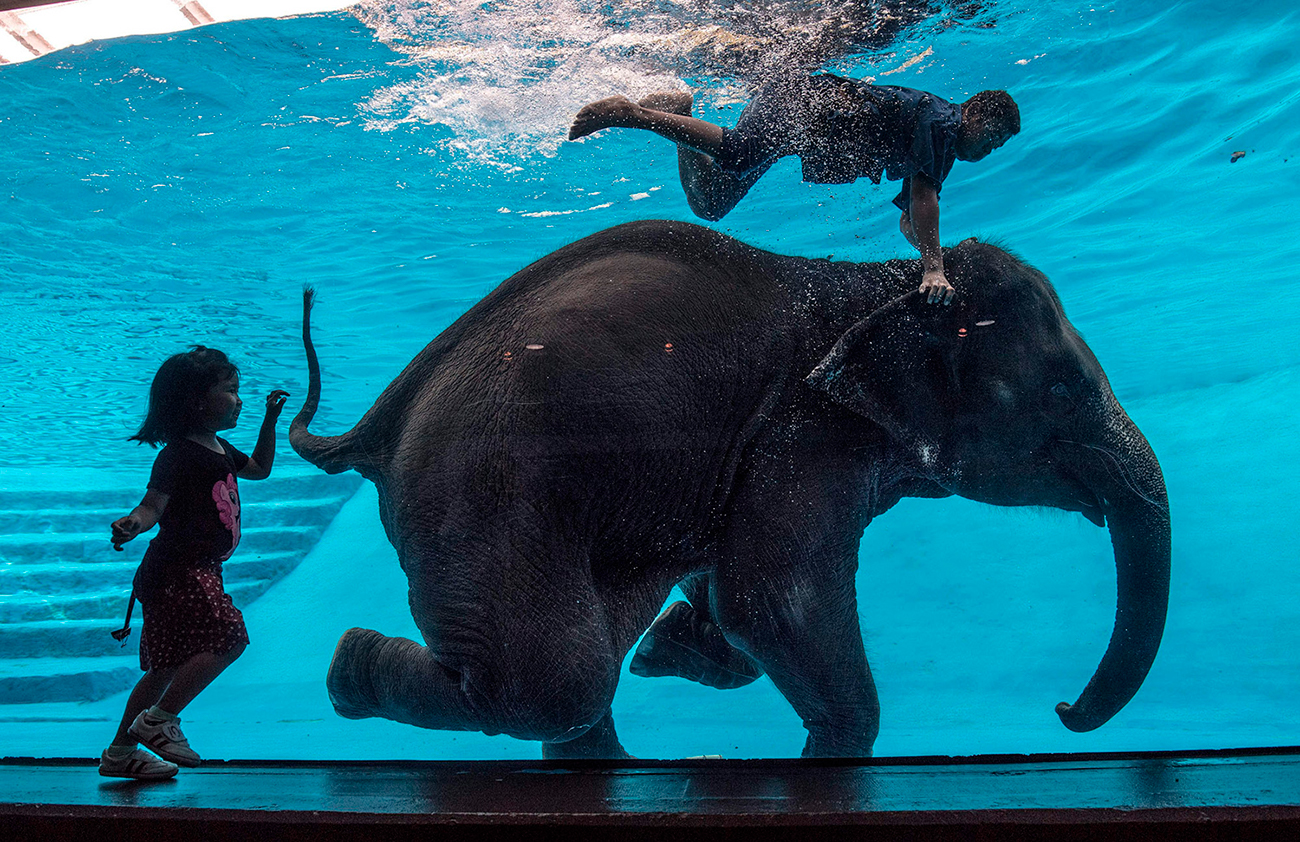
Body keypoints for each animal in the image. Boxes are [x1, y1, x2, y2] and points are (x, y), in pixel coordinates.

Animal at [292, 216, 1170, 758]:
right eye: (1060, 393)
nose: (1062, 711)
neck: (882, 287)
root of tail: (371, 428)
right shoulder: (806, 429)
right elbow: (770, 595)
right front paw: (833, 748)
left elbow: (733, 592)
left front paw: (669, 648)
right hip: (478, 492)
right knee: (558, 679)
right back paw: (345, 666)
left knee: (589, 656)